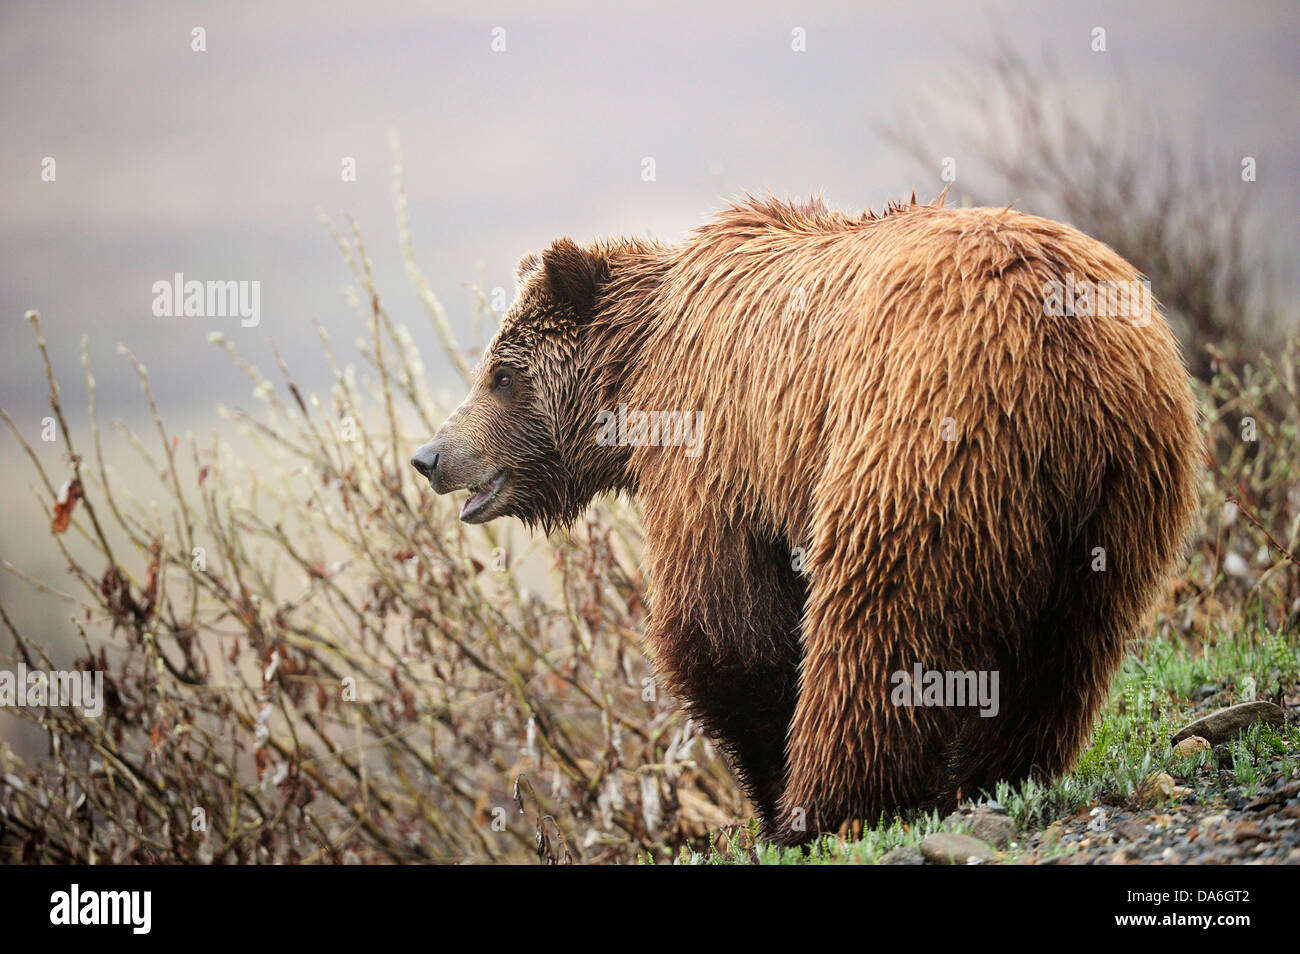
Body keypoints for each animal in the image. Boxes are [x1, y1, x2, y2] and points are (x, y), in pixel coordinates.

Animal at [410, 191, 1201, 847]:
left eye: (501, 375)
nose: (430, 455)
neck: (636, 371)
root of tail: (1063, 344)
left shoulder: (716, 446)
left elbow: (722, 622)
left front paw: (768, 794)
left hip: (918, 436)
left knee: (875, 624)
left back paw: (826, 802)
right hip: (1119, 497)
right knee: (1066, 647)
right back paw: (994, 774)